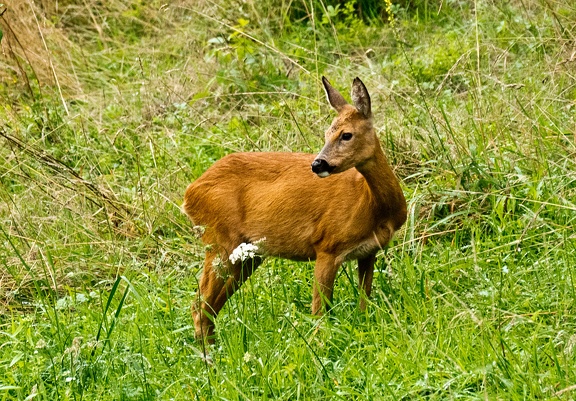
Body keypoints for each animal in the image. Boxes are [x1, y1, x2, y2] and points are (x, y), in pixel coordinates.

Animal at [183, 76, 404, 342]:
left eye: (346, 134)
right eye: (326, 134)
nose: (318, 164)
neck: (372, 205)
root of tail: (189, 194)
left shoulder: (369, 252)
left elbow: (364, 303)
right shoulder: (327, 245)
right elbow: (319, 311)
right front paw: (321, 344)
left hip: (247, 255)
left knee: (209, 308)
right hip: (219, 241)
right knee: (199, 306)